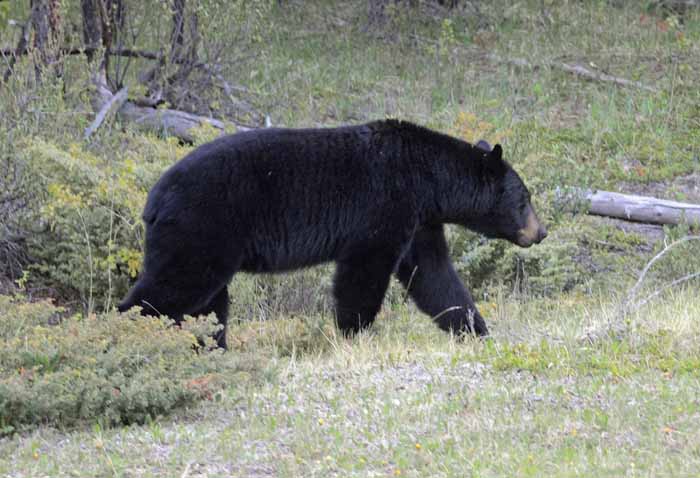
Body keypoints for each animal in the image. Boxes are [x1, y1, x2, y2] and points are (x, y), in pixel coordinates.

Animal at [119, 119, 548, 348]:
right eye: (524, 199)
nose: (541, 231)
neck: (428, 177)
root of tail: (153, 199)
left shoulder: (420, 220)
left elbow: (433, 275)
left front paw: (475, 329)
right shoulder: (386, 204)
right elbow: (363, 274)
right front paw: (353, 334)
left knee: (209, 305)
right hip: (202, 227)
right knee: (171, 289)